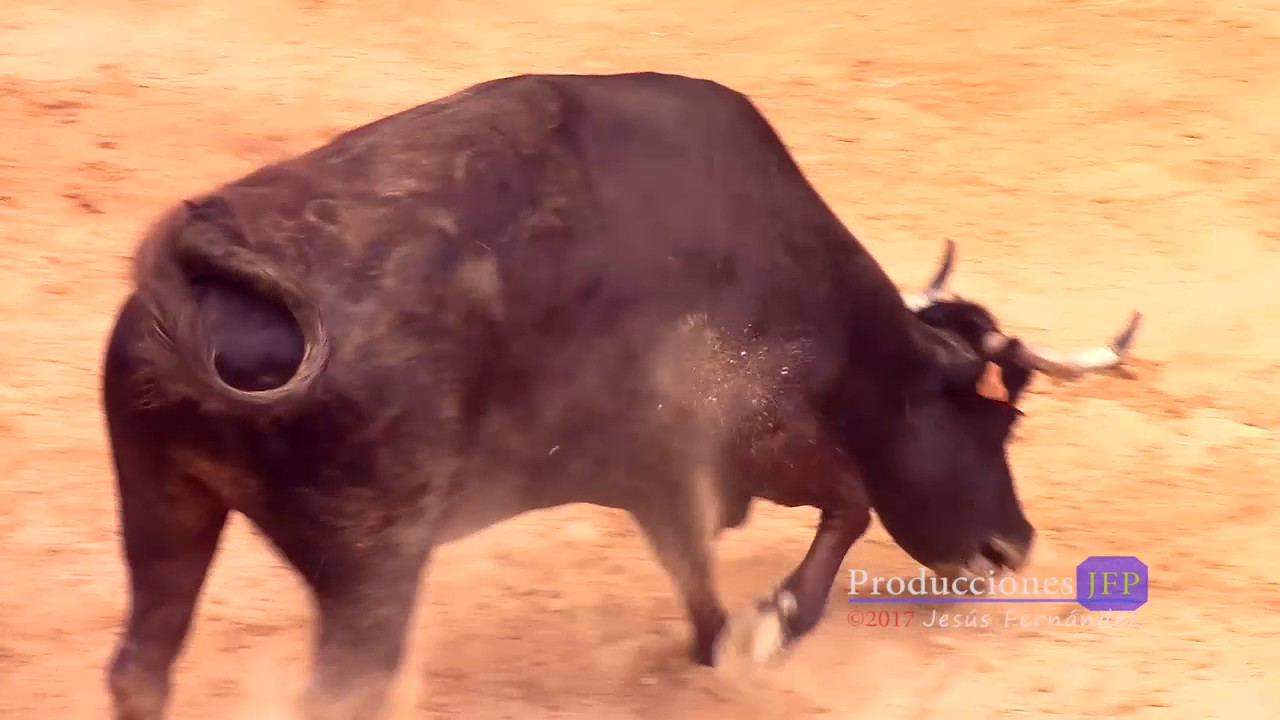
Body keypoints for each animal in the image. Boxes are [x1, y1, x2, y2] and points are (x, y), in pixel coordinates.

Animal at [101, 71, 1140, 720]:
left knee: (141, 668)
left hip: (165, 505)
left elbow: (702, 583)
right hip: (370, 569)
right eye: (996, 415)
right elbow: (844, 507)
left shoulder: (663, 484)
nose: (1012, 547)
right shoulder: (734, 446)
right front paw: (771, 629)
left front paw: (724, 646)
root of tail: (201, 261)